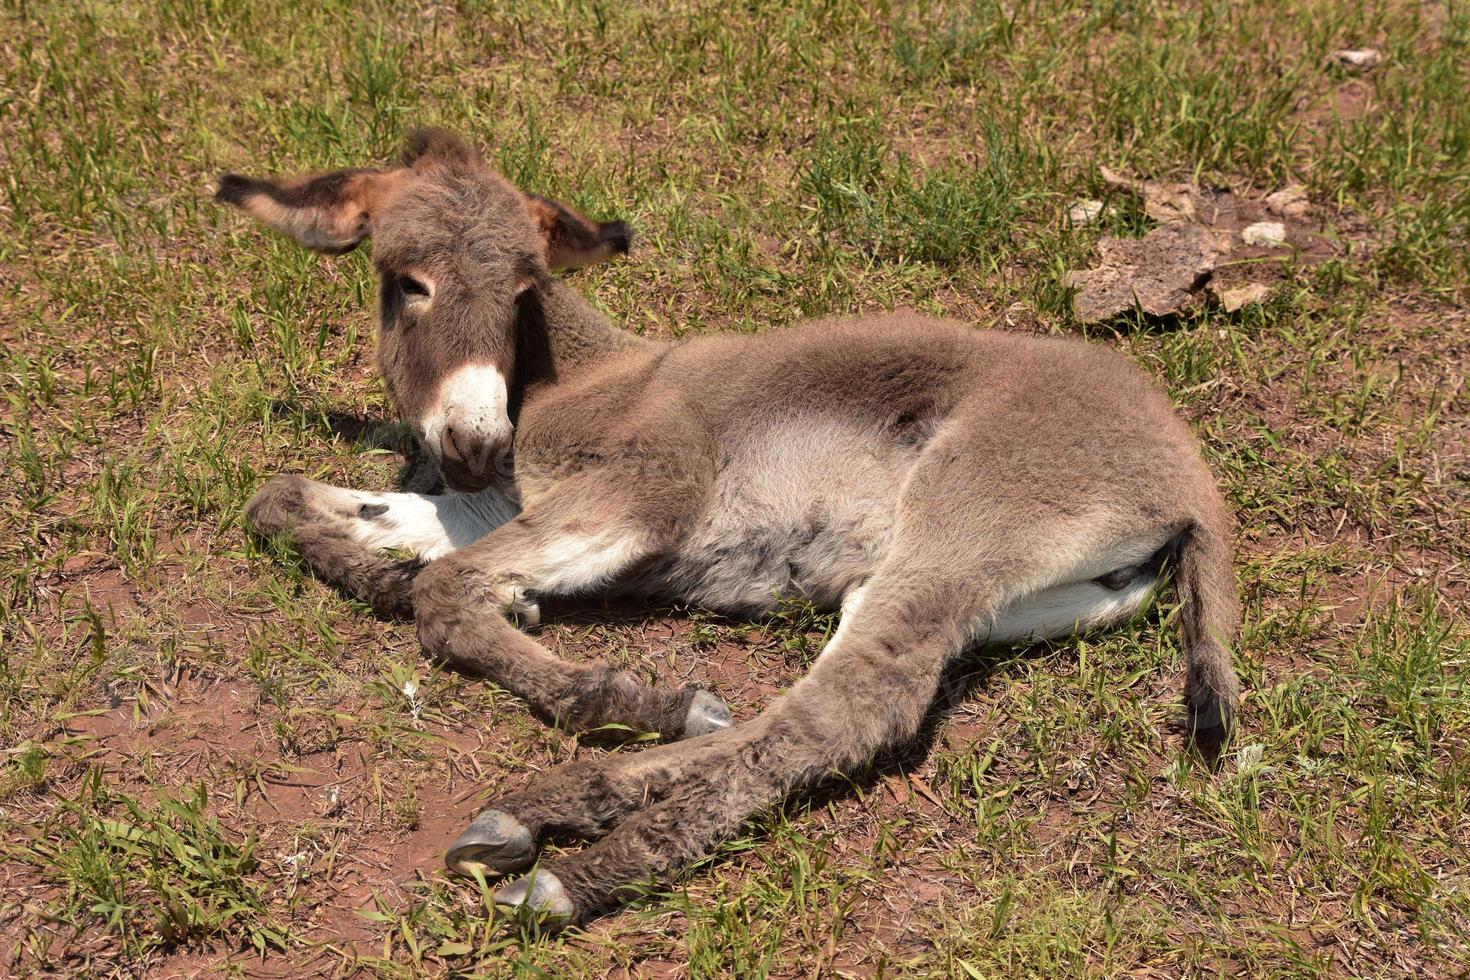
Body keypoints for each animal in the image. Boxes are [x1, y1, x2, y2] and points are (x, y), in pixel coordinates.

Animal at [217, 130, 1240, 928]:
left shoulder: (644, 489)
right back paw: (559, 802)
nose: (473, 440)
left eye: (520, 286)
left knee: (850, 707)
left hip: (969, 508)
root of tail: (1188, 468)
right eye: (406, 284)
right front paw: (389, 573)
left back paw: (575, 868)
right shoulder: (504, 502)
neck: (578, 375)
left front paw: (598, 687)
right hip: (1006, 588)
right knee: (812, 697)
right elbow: (285, 500)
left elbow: (447, 589)